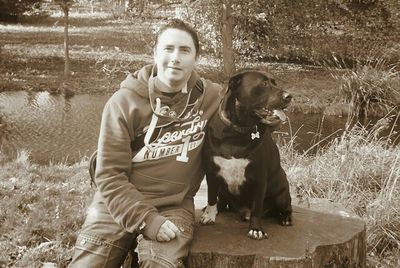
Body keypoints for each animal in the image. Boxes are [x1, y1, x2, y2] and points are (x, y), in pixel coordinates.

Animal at [202, 68, 292, 240]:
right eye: (264, 84)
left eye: (274, 82)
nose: (289, 96)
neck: (237, 131)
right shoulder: (211, 171)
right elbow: (211, 196)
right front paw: (209, 215)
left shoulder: (259, 177)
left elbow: (257, 207)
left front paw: (256, 229)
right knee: (221, 200)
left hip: (282, 192)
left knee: (285, 207)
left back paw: (285, 218)